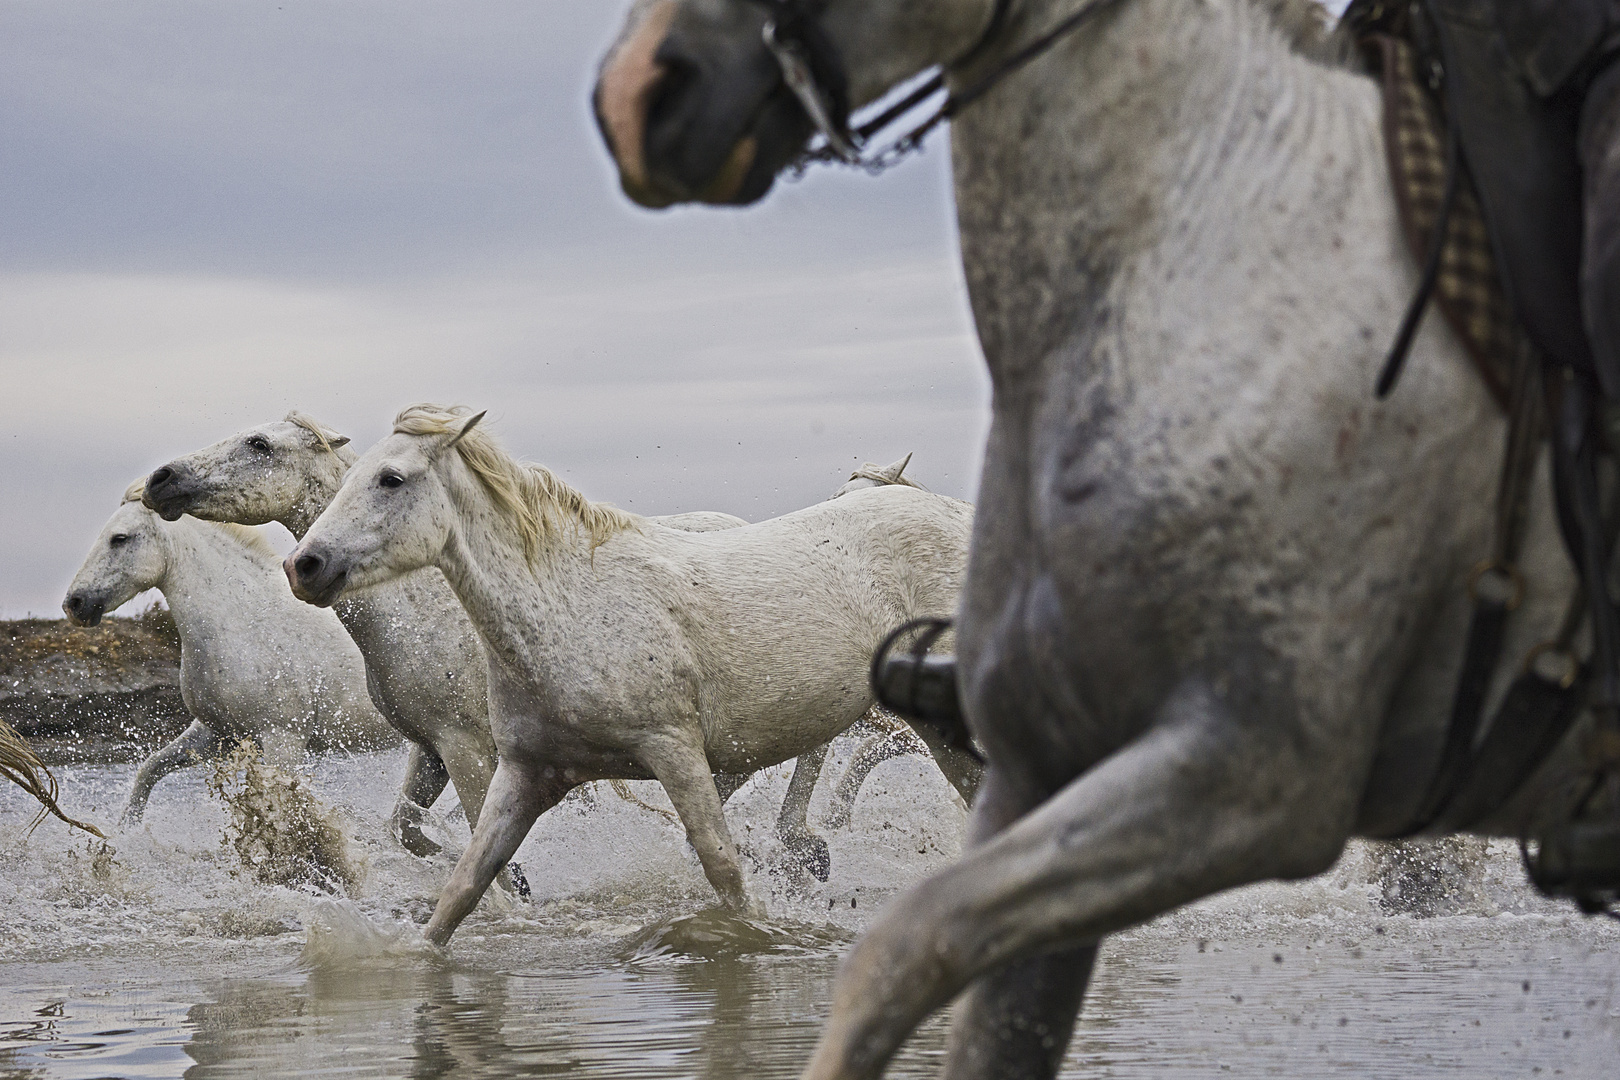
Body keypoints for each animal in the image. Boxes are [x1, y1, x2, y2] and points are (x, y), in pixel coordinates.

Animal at [66, 482, 401, 819]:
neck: (246, 620)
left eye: (119, 538)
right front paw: (126, 828)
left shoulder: (283, 738)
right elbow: (149, 770)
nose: (74, 603)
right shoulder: (218, 733)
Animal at [285, 404, 978, 945]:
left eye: (391, 479)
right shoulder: (525, 773)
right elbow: (462, 891)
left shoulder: (674, 751)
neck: (569, 609)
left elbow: (725, 872)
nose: (305, 565)